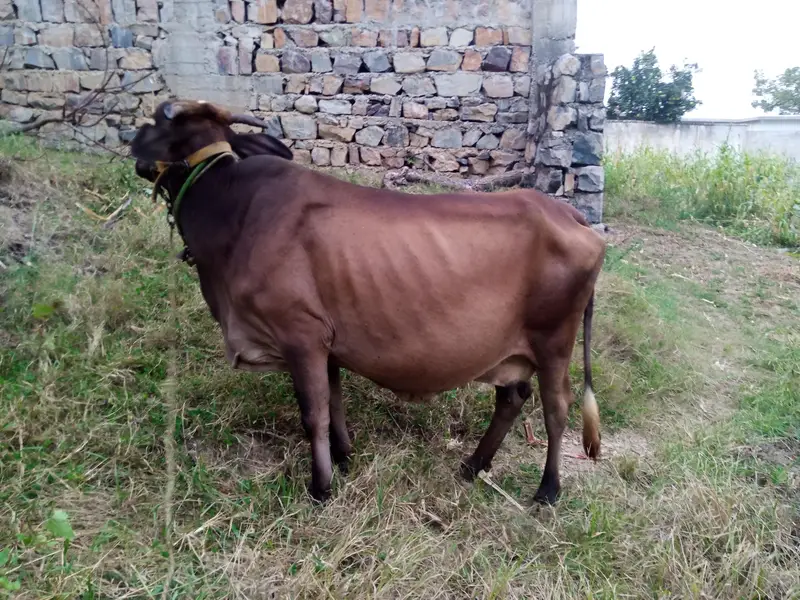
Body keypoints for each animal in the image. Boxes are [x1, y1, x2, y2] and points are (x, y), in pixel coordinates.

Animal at [129, 100, 606, 506]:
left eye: (158, 124)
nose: (131, 140)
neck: (232, 213)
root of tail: (570, 214)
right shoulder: (327, 344)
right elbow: (334, 404)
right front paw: (343, 457)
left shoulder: (300, 335)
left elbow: (313, 414)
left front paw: (321, 487)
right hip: (510, 347)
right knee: (512, 397)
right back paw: (473, 465)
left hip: (554, 340)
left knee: (556, 409)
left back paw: (547, 489)